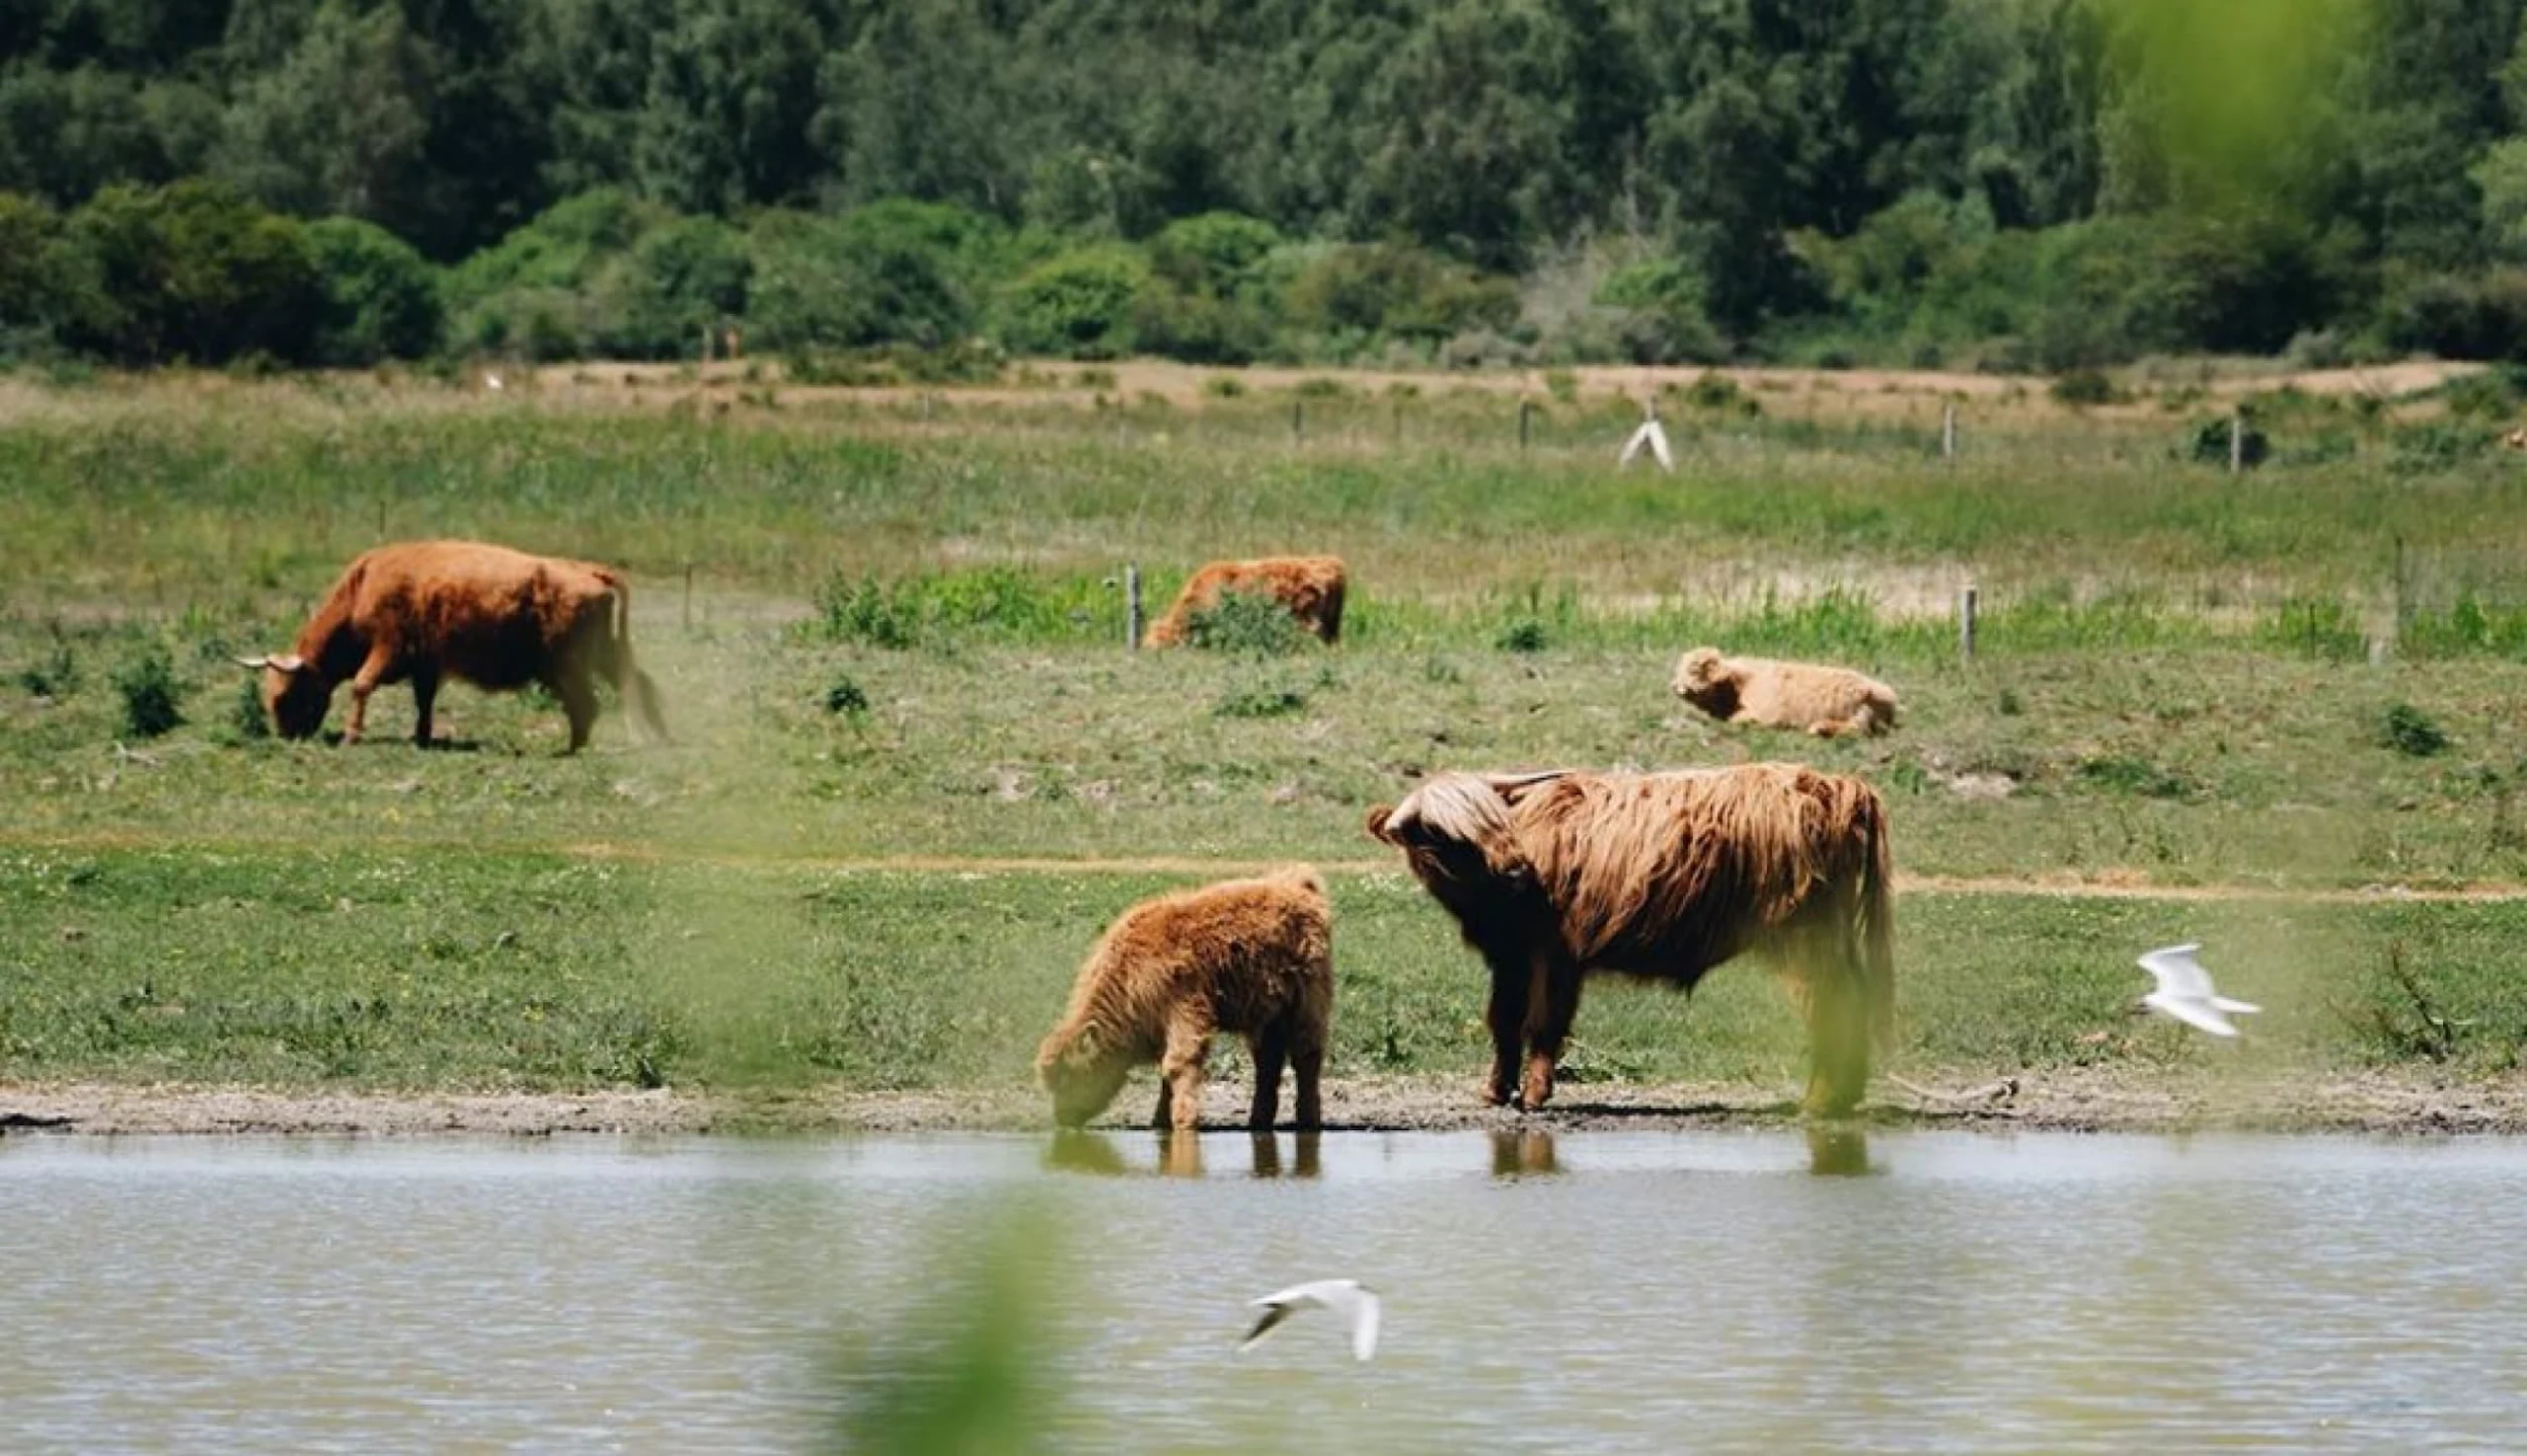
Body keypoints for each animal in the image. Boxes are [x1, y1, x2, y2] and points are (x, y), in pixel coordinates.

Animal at [237, 540, 667, 753]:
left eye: (285, 695)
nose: (286, 736)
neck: (364, 585)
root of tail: (589, 571)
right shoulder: (425, 666)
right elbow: (423, 702)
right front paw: (422, 737)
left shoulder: (388, 648)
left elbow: (361, 685)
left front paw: (351, 735)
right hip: (604, 657)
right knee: (638, 686)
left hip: (570, 665)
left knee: (586, 704)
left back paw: (573, 748)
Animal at [1035, 866, 1334, 1133]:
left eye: (1069, 1077)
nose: (1063, 1117)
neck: (1128, 975)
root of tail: (1298, 887)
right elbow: (1165, 1072)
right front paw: (1159, 1121)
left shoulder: (1185, 1014)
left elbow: (1179, 1065)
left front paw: (1183, 1122)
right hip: (1266, 1016)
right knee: (1268, 1063)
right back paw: (1258, 1121)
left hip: (1306, 1005)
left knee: (1306, 1056)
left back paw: (1308, 1121)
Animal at [1366, 764, 1894, 1116]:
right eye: (1440, 834)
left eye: (1492, 822)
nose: (1516, 869)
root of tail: (1840, 787)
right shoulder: (1510, 955)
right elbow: (1503, 1021)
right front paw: (1495, 1091)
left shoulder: (1557, 953)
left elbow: (1543, 1023)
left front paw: (1535, 1095)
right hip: (1833, 937)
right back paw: (1845, 1094)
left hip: (1806, 939)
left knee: (1831, 1006)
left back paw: (1821, 1101)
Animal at [1672, 647, 1899, 738]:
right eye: (1678, 667)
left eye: (1694, 669)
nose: (1674, 686)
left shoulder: (1765, 715)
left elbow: (1738, 719)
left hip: (1859, 713)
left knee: (1859, 728)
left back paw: (1820, 728)